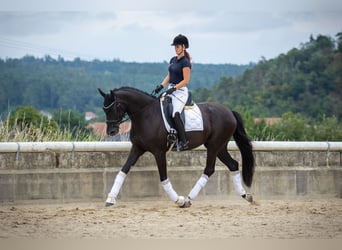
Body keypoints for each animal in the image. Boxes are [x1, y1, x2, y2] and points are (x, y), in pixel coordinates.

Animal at [98, 86, 254, 207]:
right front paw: (110, 199)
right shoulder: (137, 148)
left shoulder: (159, 152)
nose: (111, 131)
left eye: (114, 107)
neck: (145, 114)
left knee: (209, 169)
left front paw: (179, 200)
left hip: (214, 145)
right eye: (104, 109)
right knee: (233, 165)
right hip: (219, 147)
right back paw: (246, 196)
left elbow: (163, 178)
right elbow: (123, 170)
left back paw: (189, 199)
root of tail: (229, 111)